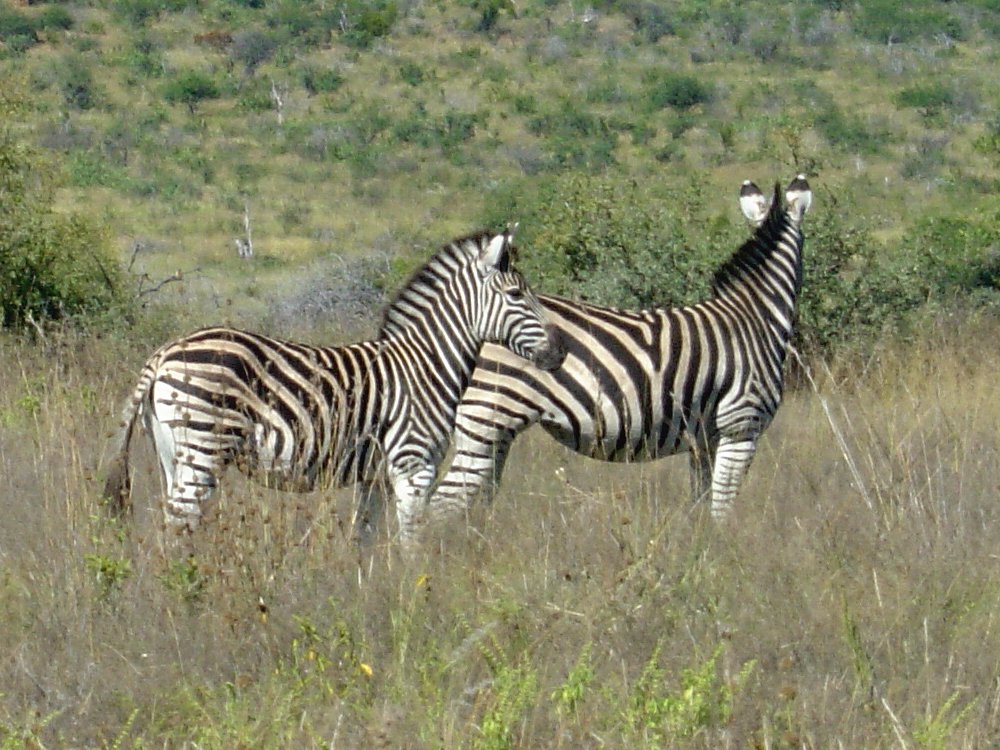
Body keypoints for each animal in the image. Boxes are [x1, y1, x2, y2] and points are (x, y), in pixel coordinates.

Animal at [104, 229, 568, 548]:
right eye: (517, 294)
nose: (561, 351)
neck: (426, 364)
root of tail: (164, 352)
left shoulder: (376, 476)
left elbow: (365, 540)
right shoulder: (413, 465)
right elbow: (412, 543)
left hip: (172, 453)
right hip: (203, 446)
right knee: (176, 528)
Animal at [428, 178, 812, 524]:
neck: (754, 315)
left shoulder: (706, 438)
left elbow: (702, 503)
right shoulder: (741, 427)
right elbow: (723, 509)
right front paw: (721, 548)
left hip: (496, 432)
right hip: (486, 419)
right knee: (442, 505)